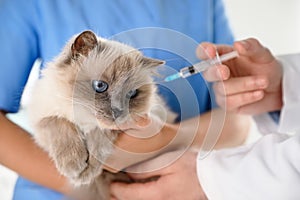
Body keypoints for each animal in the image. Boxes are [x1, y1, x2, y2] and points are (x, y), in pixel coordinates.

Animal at [28, 30, 173, 199]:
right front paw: (73, 165)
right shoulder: (41, 120)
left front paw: (86, 173)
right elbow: (58, 122)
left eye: (132, 94)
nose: (118, 111)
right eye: (100, 86)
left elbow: (99, 141)